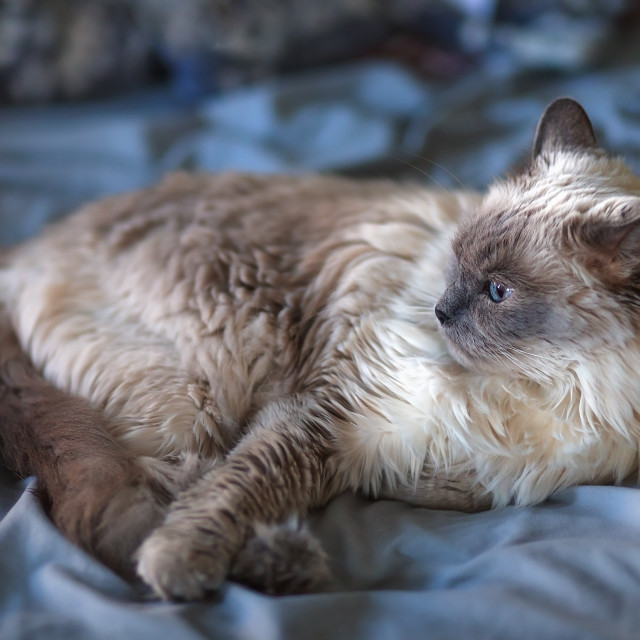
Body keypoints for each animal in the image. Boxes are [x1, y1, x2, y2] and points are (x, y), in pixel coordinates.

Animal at [1, 95, 640, 600]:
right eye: (456, 261)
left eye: (498, 292)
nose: (440, 311)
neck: (547, 390)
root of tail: (23, 250)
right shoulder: (325, 422)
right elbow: (234, 491)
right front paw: (179, 559)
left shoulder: (454, 481)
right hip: (199, 394)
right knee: (132, 499)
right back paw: (269, 566)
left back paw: (283, 564)